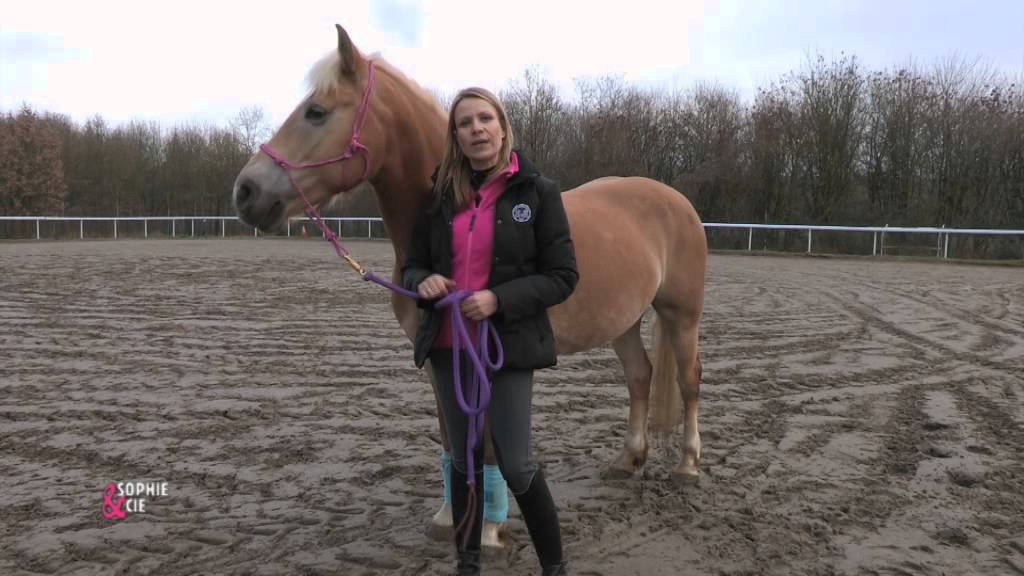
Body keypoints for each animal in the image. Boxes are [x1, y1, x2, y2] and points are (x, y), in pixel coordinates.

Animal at [233, 23, 706, 533]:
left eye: (316, 112)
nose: (245, 191)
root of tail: (675, 200)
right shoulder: (439, 357)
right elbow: (451, 435)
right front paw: (449, 514)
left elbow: (489, 445)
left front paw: (490, 526)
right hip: (623, 320)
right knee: (640, 376)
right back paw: (628, 459)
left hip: (681, 315)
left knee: (689, 380)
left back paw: (687, 465)